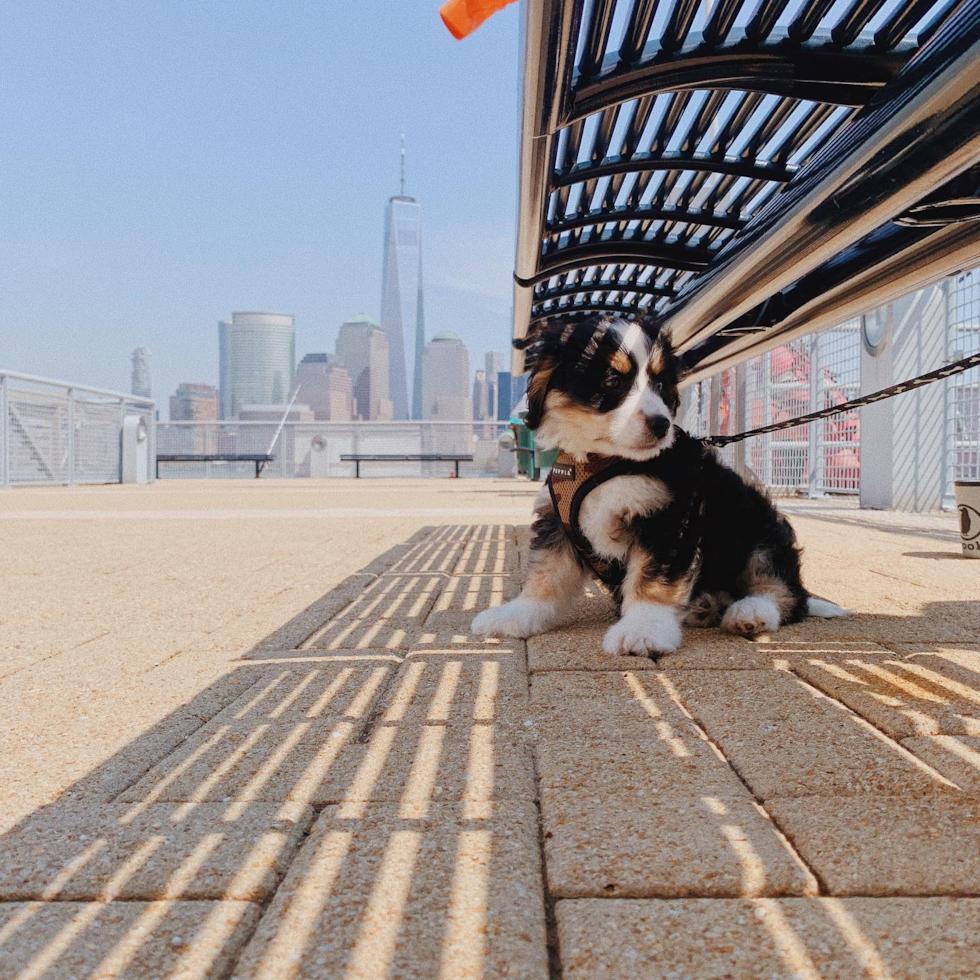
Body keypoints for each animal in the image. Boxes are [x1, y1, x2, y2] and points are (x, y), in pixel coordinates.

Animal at [470, 316, 848, 660]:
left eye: (660, 383)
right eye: (612, 380)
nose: (661, 424)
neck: (603, 461)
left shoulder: (667, 519)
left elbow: (650, 579)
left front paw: (644, 630)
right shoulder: (557, 523)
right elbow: (545, 576)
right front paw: (515, 614)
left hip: (760, 530)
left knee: (783, 592)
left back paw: (749, 612)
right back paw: (705, 604)